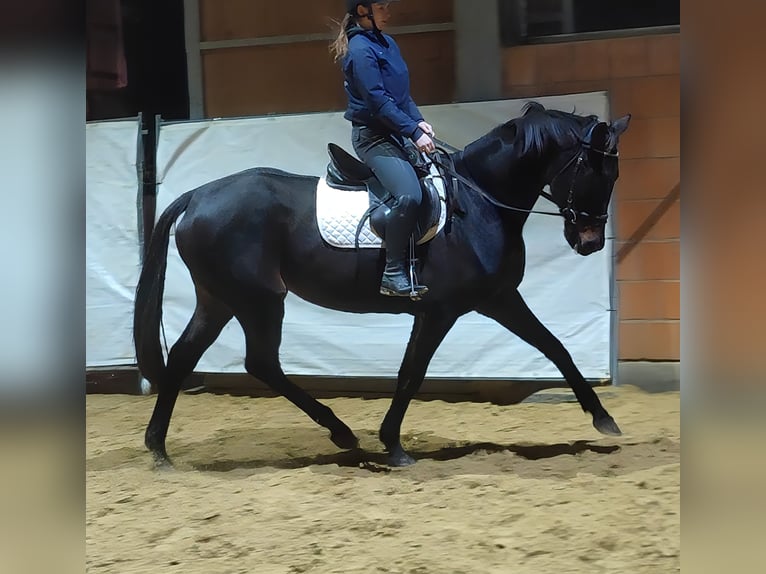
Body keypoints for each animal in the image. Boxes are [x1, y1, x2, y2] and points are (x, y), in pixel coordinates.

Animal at [134, 101, 631, 468]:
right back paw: (340, 432)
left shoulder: (496, 299)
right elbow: (413, 372)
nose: (588, 242)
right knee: (260, 362)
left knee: (186, 356)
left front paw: (604, 419)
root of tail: (197, 195)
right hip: (259, 299)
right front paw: (393, 445)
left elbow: (555, 347)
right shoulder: (444, 310)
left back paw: (159, 449)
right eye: (596, 171)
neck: (479, 202)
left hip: (220, 298)